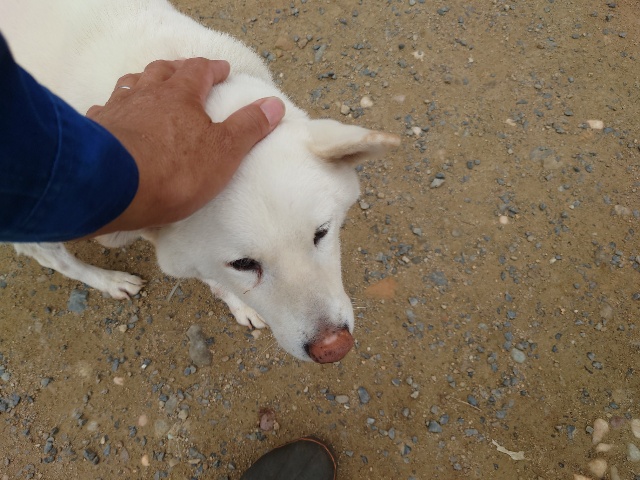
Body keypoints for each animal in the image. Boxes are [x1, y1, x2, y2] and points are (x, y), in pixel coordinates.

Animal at [0, 0, 399, 363]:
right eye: (243, 264)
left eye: (322, 233)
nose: (334, 348)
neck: (210, 112)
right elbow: (215, 280)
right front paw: (241, 305)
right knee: (48, 255)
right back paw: (110, 281)